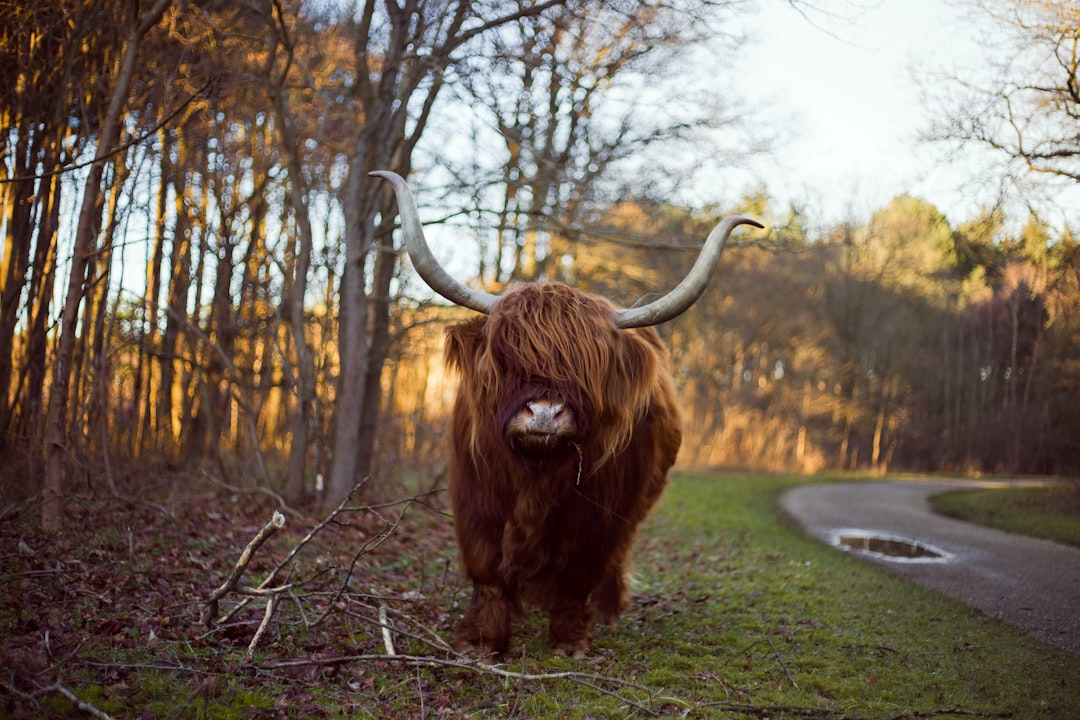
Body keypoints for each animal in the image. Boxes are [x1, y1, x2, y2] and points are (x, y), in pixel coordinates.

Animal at [375, 170, 764, 660]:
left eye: (589, 368)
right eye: (507, 356)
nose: (544, 413)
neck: (536, 475)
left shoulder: (600, 515)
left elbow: (581, 572)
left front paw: (569, 641)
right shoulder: (475, 499)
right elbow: (487, 572)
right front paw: (481, 641)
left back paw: (608, 609)